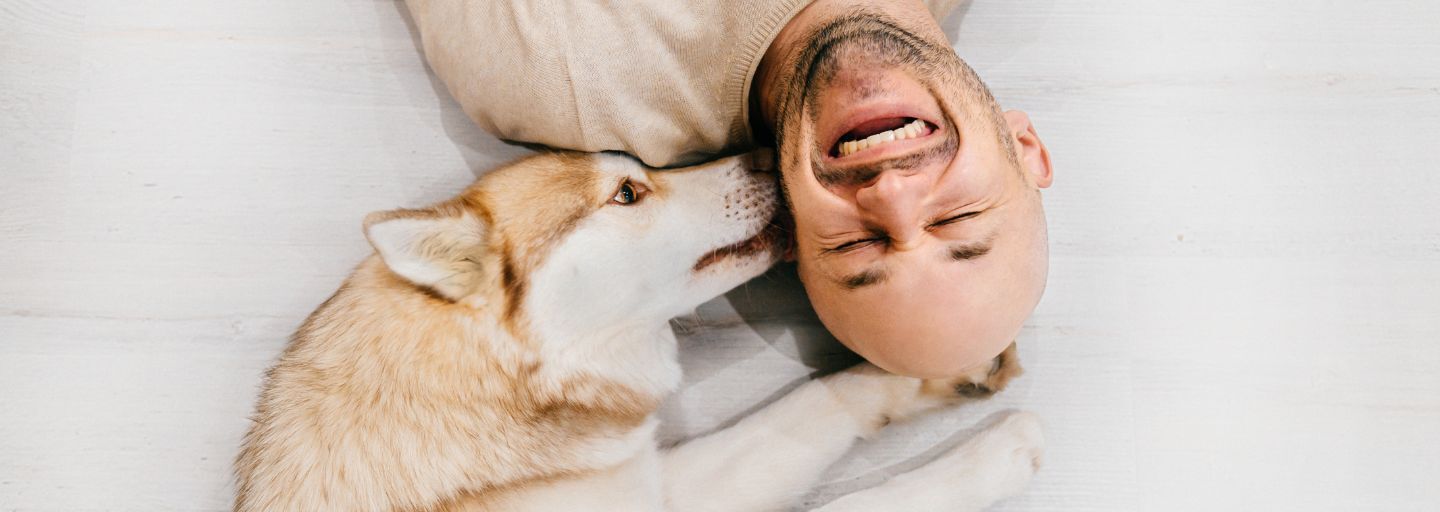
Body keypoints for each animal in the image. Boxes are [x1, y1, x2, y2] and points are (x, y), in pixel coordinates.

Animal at [236, 150, 1048, 509]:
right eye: (628, 192)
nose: (765, 145)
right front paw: (994, 459)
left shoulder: (651, 482)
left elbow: (816, 401)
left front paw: (927, 371)